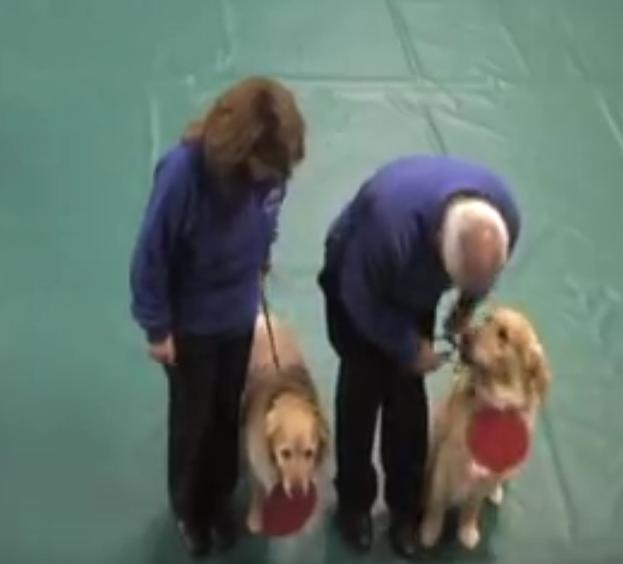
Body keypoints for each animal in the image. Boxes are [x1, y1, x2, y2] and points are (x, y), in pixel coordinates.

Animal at [244, 316, 332, 536]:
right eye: (285, 453)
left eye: (309, 453)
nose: (298, 492)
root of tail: (262, 318)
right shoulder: (256, 454)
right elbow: (258, 486)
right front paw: (256, 517)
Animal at [420, 308, 552, 552]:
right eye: (486, 319)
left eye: (504, 335)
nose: (464, 336)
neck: (495, 400)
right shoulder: (447, 458)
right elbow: (437, 502)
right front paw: (430, 530)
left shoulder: (486, 472)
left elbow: (473, 506)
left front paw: (467, 529)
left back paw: (495, 492)